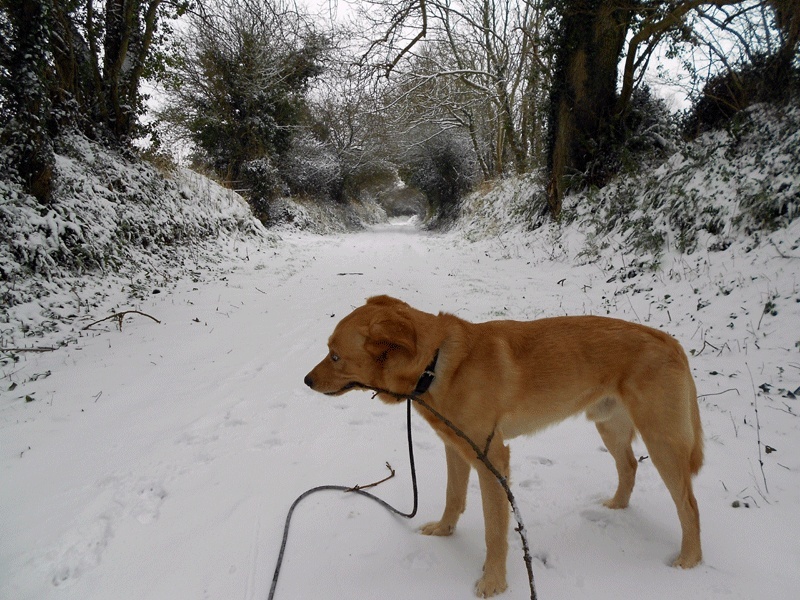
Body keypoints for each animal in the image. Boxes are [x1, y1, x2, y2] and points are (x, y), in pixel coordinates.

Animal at [304, 296, 704, 596]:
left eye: (335, 355)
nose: (306, 380)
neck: (436, 364)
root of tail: (668, 339)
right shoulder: (456, 449)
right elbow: (453, 497)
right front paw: (445, 532)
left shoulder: (491, 460)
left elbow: (495, 531)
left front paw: (494, 581)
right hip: (609, 426)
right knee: (629, 466)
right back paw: (618, 506)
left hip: (662, 442)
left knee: (689, 505)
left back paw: (690, 559)